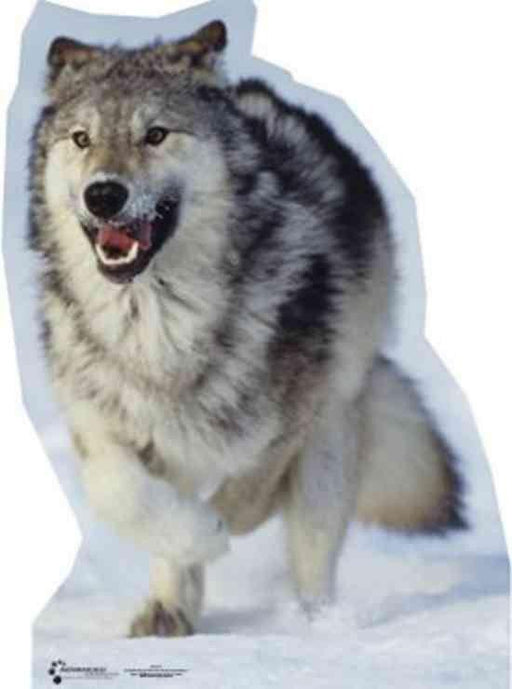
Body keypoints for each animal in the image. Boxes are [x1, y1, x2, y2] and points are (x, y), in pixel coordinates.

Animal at [29, 20, 466, 637]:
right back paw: (169, 610)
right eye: (82, 139)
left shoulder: (291, 423)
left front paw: (216, 527)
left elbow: (249, 495)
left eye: (155, 135)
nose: (104, 193)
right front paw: (194, 539)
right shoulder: (101, 423)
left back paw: (314, 627)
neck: (158, 322)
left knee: (311, 549)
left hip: (333, 429)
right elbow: (124, 495)